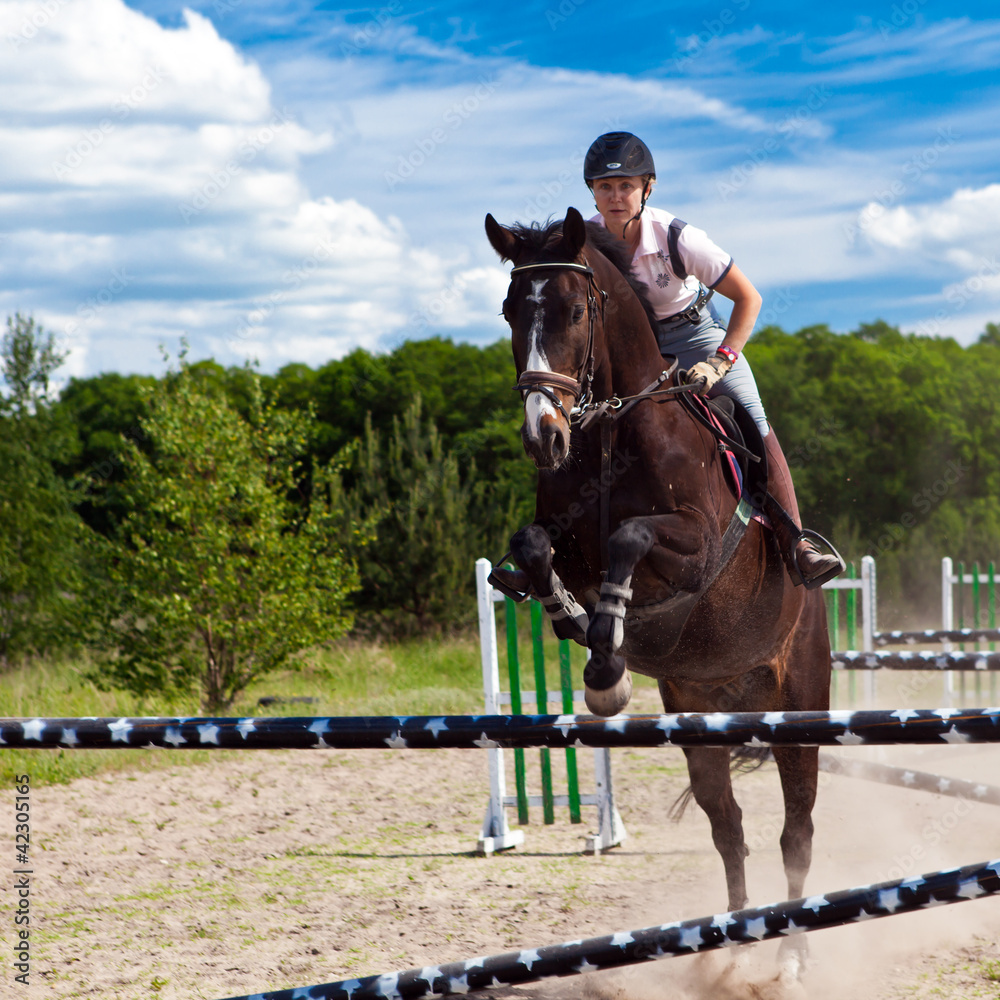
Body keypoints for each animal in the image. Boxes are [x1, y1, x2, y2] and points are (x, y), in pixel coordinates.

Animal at [488, 205, 832, 976]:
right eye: (509, 313)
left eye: (576, 310)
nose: (543, 437)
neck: (610, 431)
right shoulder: (561, 536)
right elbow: (532, 546)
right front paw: (576, 625)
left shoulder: (693, 547)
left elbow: (631, 537)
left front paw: (607, 660)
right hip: (698, 718)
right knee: (729, 828)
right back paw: (727, 956)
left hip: (800, 708)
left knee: (796, 832)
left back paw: (793, 961)